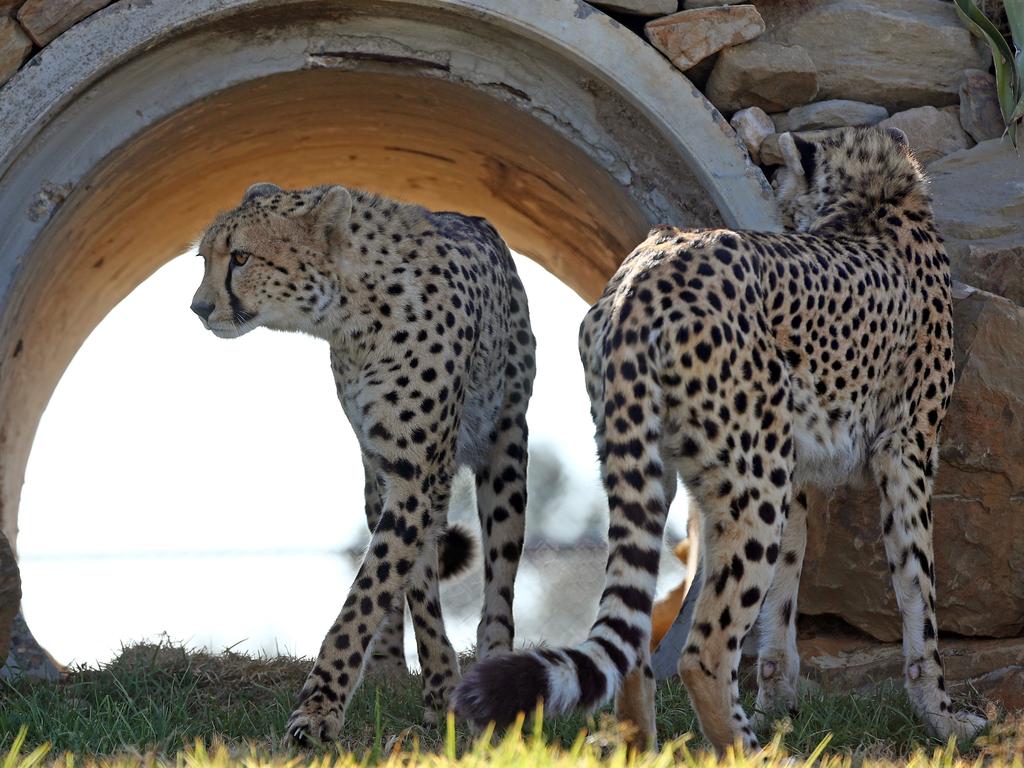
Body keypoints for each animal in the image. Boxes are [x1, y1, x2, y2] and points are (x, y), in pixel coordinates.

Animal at [189, 182, 536, 745]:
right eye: (205, 258)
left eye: (240, 257)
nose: (199, 306)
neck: (355, 314)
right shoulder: (394, 470)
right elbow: (405, 583)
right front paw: (436, 690)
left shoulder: (420, 476)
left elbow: (365, 596)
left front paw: (316, 710)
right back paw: (397, 671)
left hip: (507, 442)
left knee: (500, 574)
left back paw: (494, 665)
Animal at [456, 129, 983, 753]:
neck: (875, 198)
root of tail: (649, 270)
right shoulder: (905, 452)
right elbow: (918, 592)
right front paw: (945, 721)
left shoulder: (794, 474)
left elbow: (783, 597)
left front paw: (779, 707)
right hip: (753, 482)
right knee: (702, 652)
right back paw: (753, 754)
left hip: (656, 461)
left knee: (636, 634)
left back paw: (647, 751)